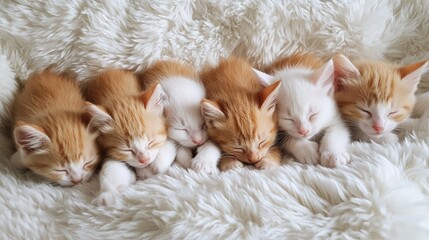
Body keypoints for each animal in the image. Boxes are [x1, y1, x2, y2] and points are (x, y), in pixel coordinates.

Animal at [85, 69, 167, 206]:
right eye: (127, 150)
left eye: (151, 142)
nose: (144, 160)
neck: (119, 95)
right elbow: (111, 168)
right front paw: (107, 194)